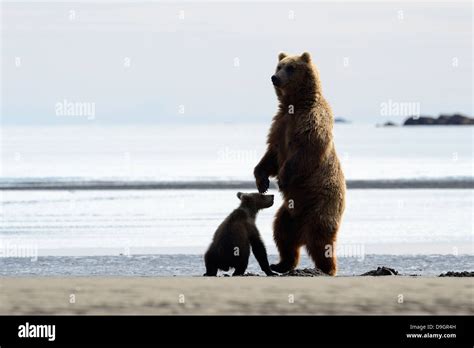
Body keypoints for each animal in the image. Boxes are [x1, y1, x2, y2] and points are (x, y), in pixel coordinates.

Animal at [254, 51, 346, 276]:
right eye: (279, 66)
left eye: (291, 68)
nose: (275, 78)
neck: (296, 105)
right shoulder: (280, 125)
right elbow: (271, 155)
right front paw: (262, 181)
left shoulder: (311, 122)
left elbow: (304, 152)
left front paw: (282, 179)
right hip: (289, 212)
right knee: (283, 234)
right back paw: (280, 264)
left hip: (321, 203)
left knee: (320, 237)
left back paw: (327, 268)